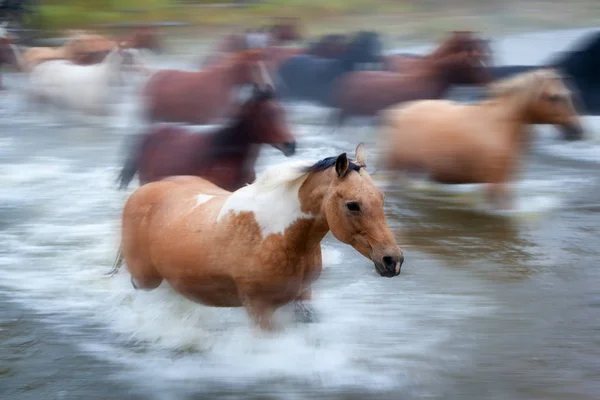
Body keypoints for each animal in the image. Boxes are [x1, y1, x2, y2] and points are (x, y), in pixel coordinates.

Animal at [110, 144, 406, 332]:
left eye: (381, 198)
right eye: (353, 205)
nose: (392, 260)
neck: (278, 237)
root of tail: (143, 191)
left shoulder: (303, 297)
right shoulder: (260, 309)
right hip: (145, 280)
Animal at [142, 49, 274, 125]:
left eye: (266, 65)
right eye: (254, 67)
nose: (269, 88)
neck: (225, 83)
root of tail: (153, 78)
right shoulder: (213, 119)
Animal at [382, 69, 584, 211]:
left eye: (569, 94)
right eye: (553, 97)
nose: (576, 130)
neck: (498, 128)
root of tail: (398, 113)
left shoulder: (506, 182)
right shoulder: (495, 183)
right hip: (398, 169)